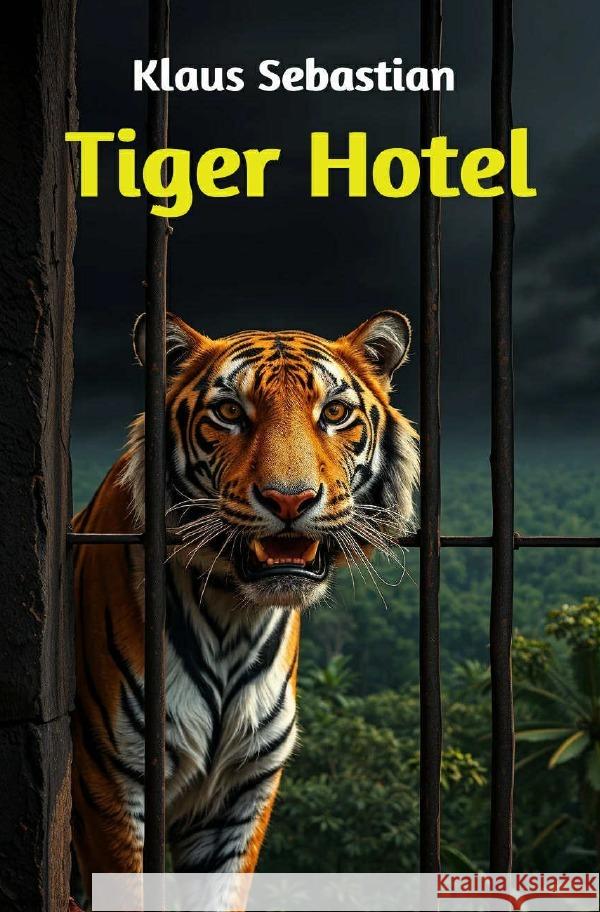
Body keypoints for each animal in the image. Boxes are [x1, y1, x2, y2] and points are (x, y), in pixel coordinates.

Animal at [71, 309, 418, 896]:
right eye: (230, 412)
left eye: (335, 413)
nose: (290, 500)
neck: (233, 615)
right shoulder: (112, 783)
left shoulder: (240, 793)